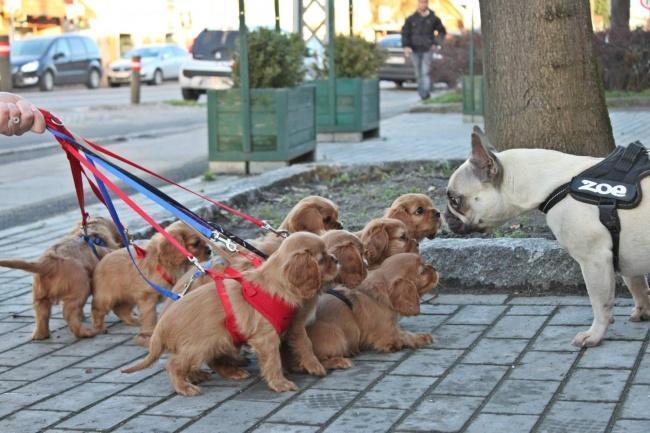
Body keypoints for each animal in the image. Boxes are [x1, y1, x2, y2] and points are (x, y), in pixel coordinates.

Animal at [119, 233, 340, 394]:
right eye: (322, 259)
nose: (336, 259)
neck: (275, 282)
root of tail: (161, 326)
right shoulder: (266, 337)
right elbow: (274, 361)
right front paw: (280, 383)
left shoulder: (293, 326)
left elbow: (304, 345)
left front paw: (312, 366)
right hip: (202, 344)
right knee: (173, 365)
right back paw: (185, 387)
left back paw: (220, 373)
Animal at [306, 251, 438, 370]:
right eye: (422, 272)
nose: (434, 268)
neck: (376, 295)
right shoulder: (389, 334)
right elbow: (405, 335)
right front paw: (422, 337)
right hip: (337, 337)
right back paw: (339, 361)